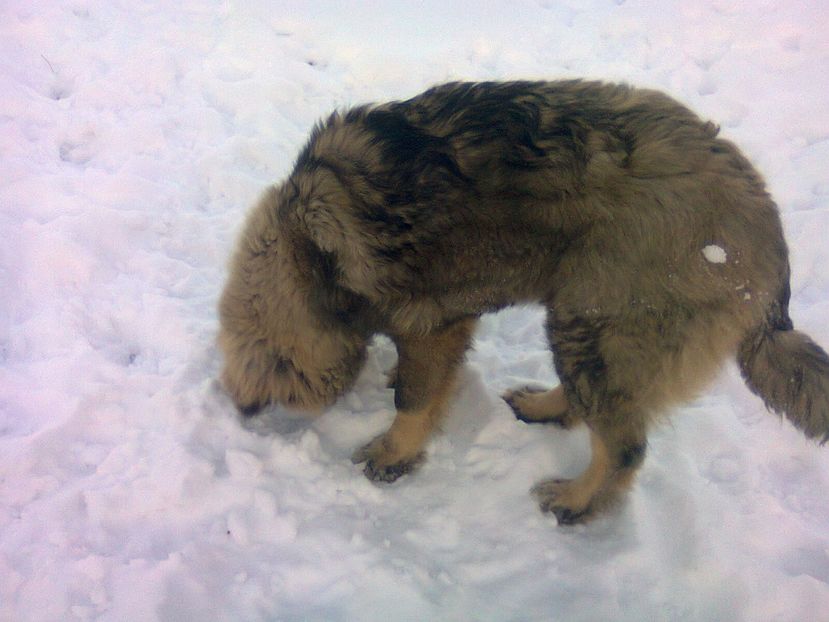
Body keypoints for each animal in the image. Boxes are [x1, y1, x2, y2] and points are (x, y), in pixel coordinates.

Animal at [215, 79, 828, 528]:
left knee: (624, 446)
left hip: (597, 320)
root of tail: (766, 228)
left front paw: (393, 453)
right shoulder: (446, 323)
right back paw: (543, 409)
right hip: (584, 315)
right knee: (591, 408)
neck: (310, 251)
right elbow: (421, 379)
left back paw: (576, 501)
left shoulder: (431, 321)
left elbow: (414, 398)